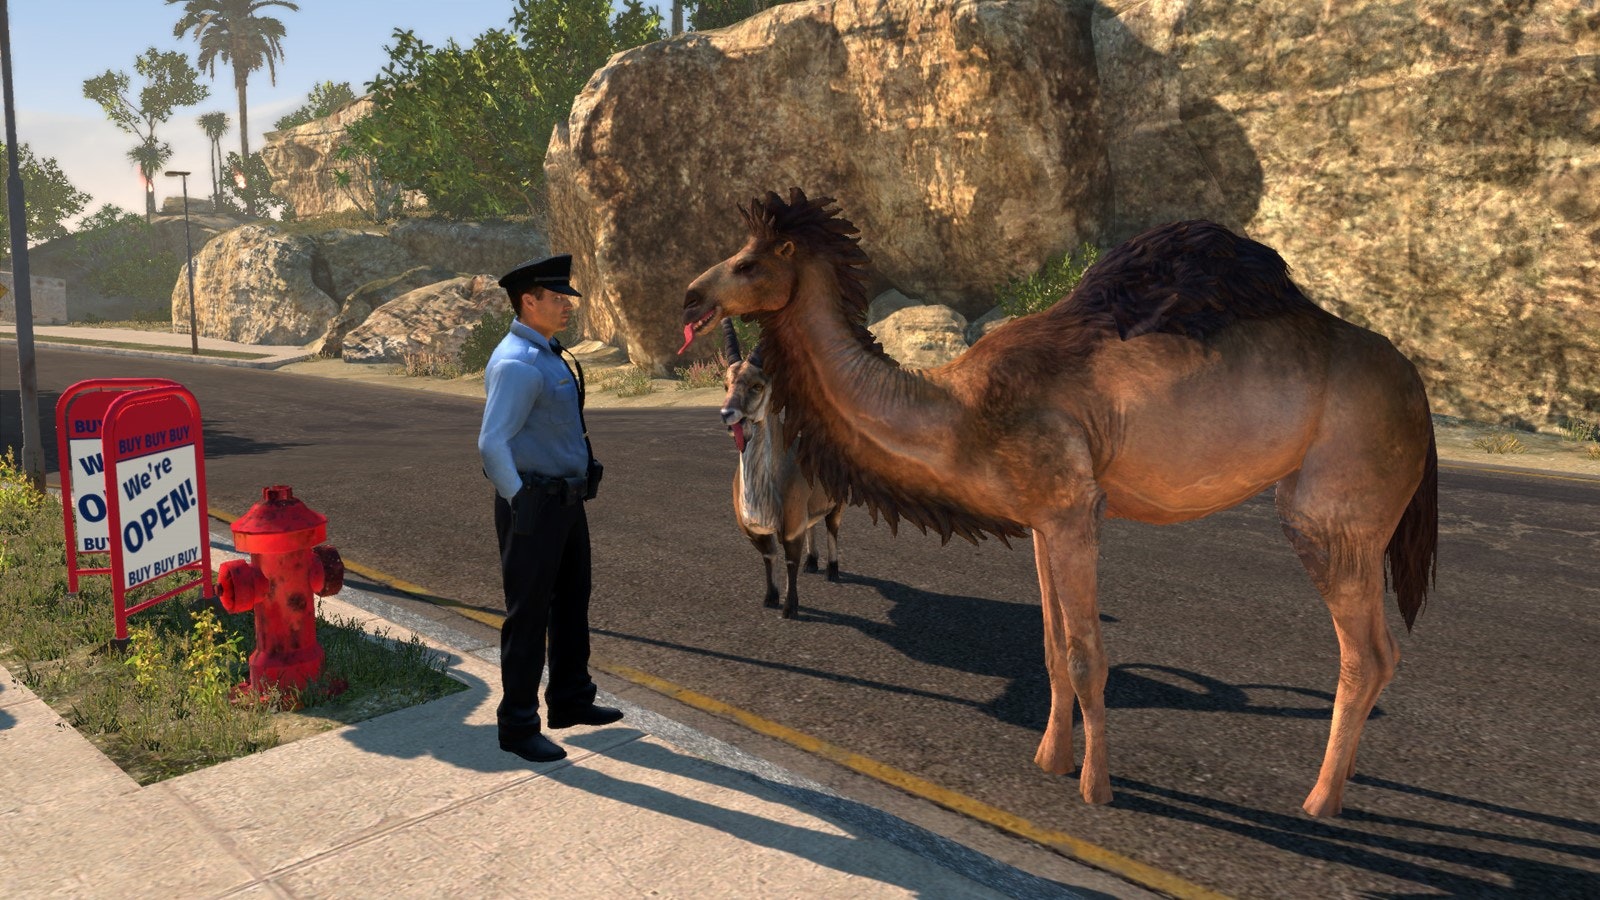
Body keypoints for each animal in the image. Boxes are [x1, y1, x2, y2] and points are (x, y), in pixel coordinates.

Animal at [718, 320, 845, 619]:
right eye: (726, 384)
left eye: (757, 385)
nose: (727, 414)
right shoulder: (758, 532)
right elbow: (770, 558)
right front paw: (770, 598)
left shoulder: (790, 528)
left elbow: (790, 562)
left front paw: (790, 608)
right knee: (813, 525)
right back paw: (813, 564)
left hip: (837, 504)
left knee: (832, 528)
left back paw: (832, 571)